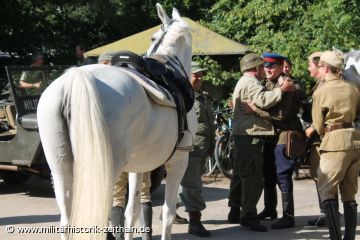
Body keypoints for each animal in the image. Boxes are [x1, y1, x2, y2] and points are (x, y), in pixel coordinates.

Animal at [37, 4, 195, 240]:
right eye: (152, 36)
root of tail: (74, 80)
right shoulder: (179, 161)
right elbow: (167, 213)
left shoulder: (139, 166)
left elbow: (132, 211)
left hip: (60, 168)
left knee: (67, 222)